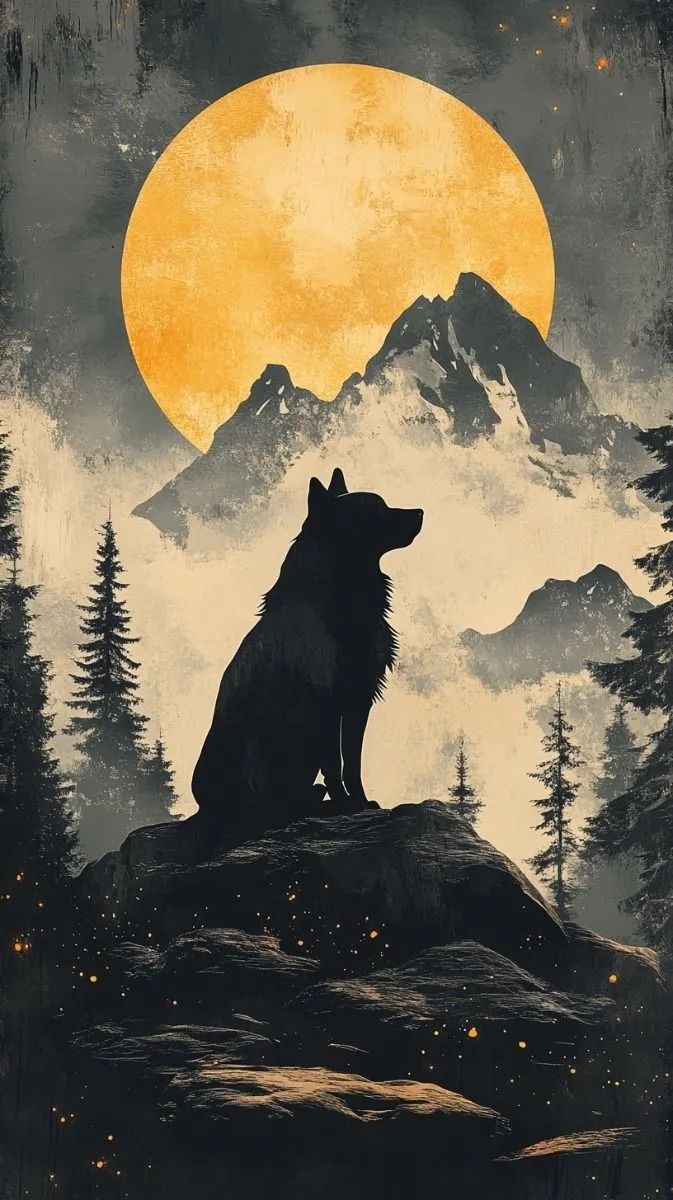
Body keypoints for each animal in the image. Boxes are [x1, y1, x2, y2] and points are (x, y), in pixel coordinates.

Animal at [191, 469, 423, 836]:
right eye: (376, 511)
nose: (420, 513)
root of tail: (205, 809)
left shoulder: (359, 698)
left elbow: (352, 763)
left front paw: (359, 802)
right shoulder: (328, 703)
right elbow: (337, 762)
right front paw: (346, 804)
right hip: (253, 749)